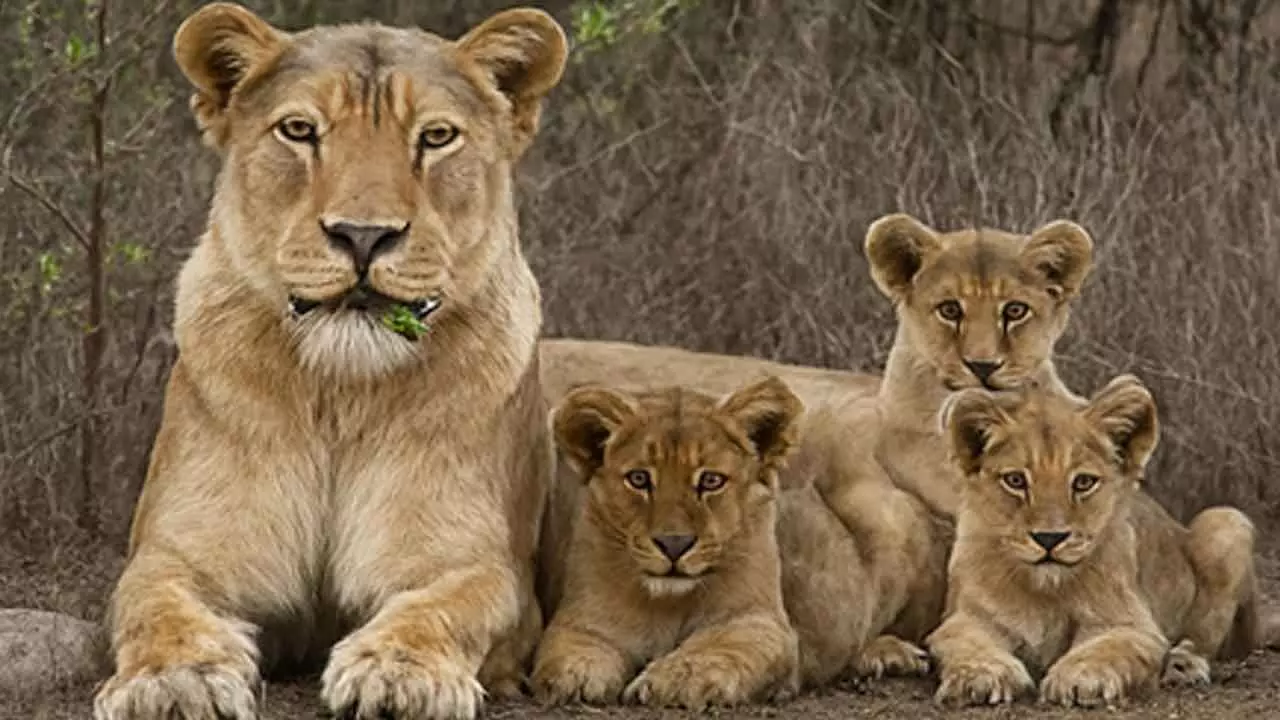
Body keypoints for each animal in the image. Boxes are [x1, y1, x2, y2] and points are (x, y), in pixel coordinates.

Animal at [93, 4, 566, 719]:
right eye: (299, 130)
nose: (363, 236)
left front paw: (398, 673)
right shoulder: (178, 550)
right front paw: (175, 679)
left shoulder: (480, 565)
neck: (340, 394)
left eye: (436, 137)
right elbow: (154, 603)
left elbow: (448, 605)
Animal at [530, 377, 803, 709]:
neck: (669, 603)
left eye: (711, 480)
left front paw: (676, 680)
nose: (674, 544)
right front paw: (577, 675)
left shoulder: (760, 619)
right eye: (639, 479)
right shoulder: (582, 617)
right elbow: (575, 645)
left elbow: (721, 647)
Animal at [927, 375, 1266, 708]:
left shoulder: (1131, 623)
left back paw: (1183, 665)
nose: (1049, 538)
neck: (1044, 591)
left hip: (1226, 522)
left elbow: (1106, 648)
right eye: (1015, 480)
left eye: (1083, 482)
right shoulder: (964, 618)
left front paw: (1080, 679)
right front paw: (979, 676)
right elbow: (965, 643)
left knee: (1204, 641)